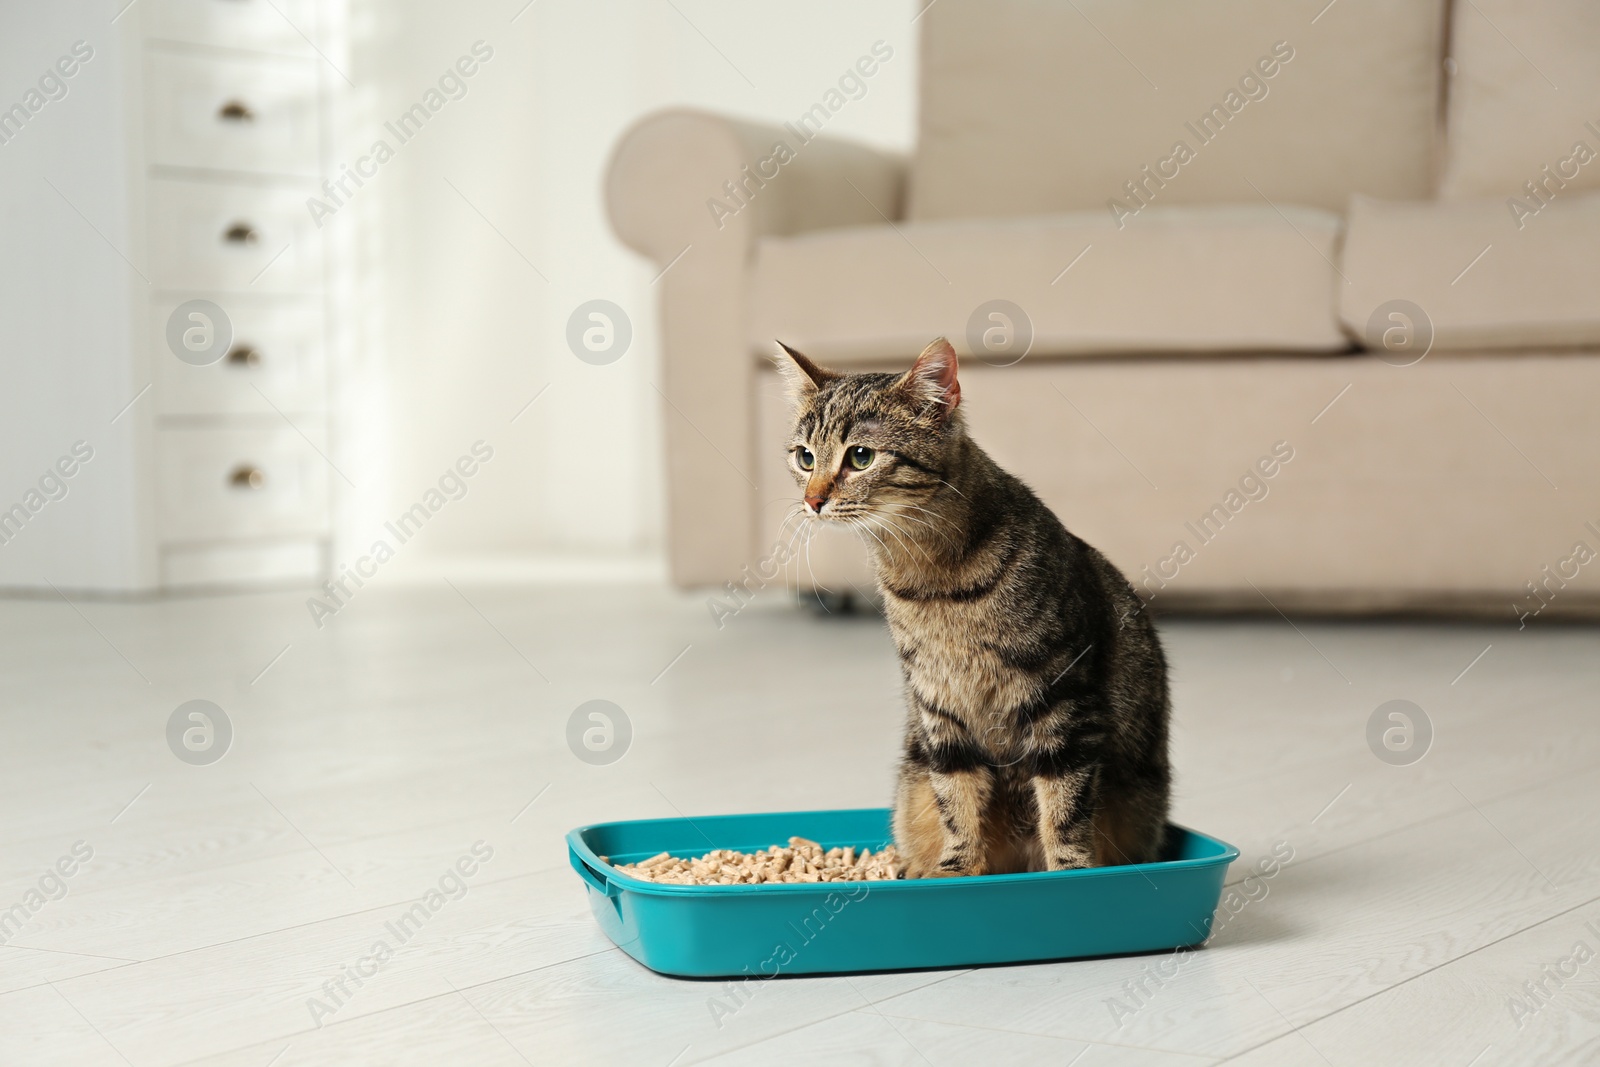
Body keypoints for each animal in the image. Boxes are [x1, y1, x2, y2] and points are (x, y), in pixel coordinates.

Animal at [777, 340, 1171, 876]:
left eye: (860, 456)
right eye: (805, 457)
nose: (812, 500)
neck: (930, 579)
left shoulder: (1065, 701)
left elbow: (1065, 807)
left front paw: (1069, 873)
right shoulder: (938, 707)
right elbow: (957, 803)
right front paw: (955, 872)